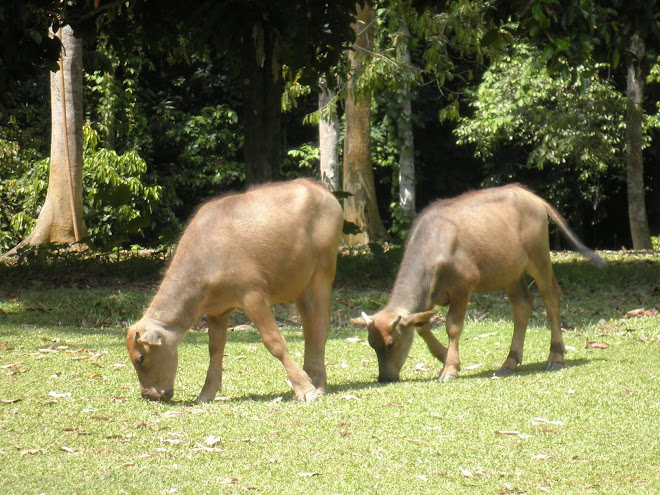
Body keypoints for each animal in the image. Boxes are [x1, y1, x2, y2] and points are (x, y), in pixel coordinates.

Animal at [128, 179, 346, 404]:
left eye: (140, 358)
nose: (149, 395)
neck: (205, 254)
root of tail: (318, 188)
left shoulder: (253, 297)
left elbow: (274, 342)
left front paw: (304, 389)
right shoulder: (217, 311)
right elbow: (215, 349)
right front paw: (206, 393)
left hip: (323, 271)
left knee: (320, 324)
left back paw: (317, 384)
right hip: (301, 285)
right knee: (310, 328)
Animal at [354, 186, 604, 384]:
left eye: (391, 344)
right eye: (371, 344)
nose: (385, 377)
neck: (438, 241)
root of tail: (533, 197)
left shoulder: (462, 286)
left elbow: (453, 326)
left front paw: (450, 368)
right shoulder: (429, 294)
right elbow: (422, 326)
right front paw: (445, 357)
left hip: (539, 258)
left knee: (551, 297)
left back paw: (556, 356)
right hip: (511, 274)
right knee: (522, 305)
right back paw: (510, 362)